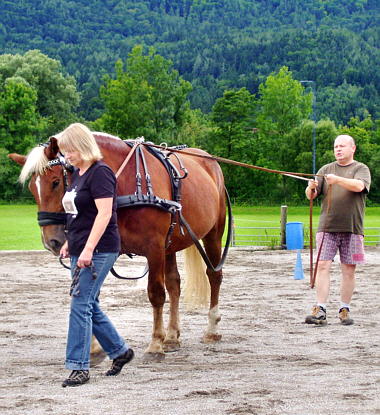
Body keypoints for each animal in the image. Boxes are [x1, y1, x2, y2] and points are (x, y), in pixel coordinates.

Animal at [8, 132, 229, 360]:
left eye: (55, 181)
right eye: (33, 189)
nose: (51, 241)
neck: (126, 183)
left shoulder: (154, 248)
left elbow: (156, 293)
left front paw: (155, 343)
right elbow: (92, 295)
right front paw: (94, 346)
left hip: (212, 233)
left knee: (214, 276)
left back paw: (211, 329)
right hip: (170, 244)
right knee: (174, 284)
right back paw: (172, 336)